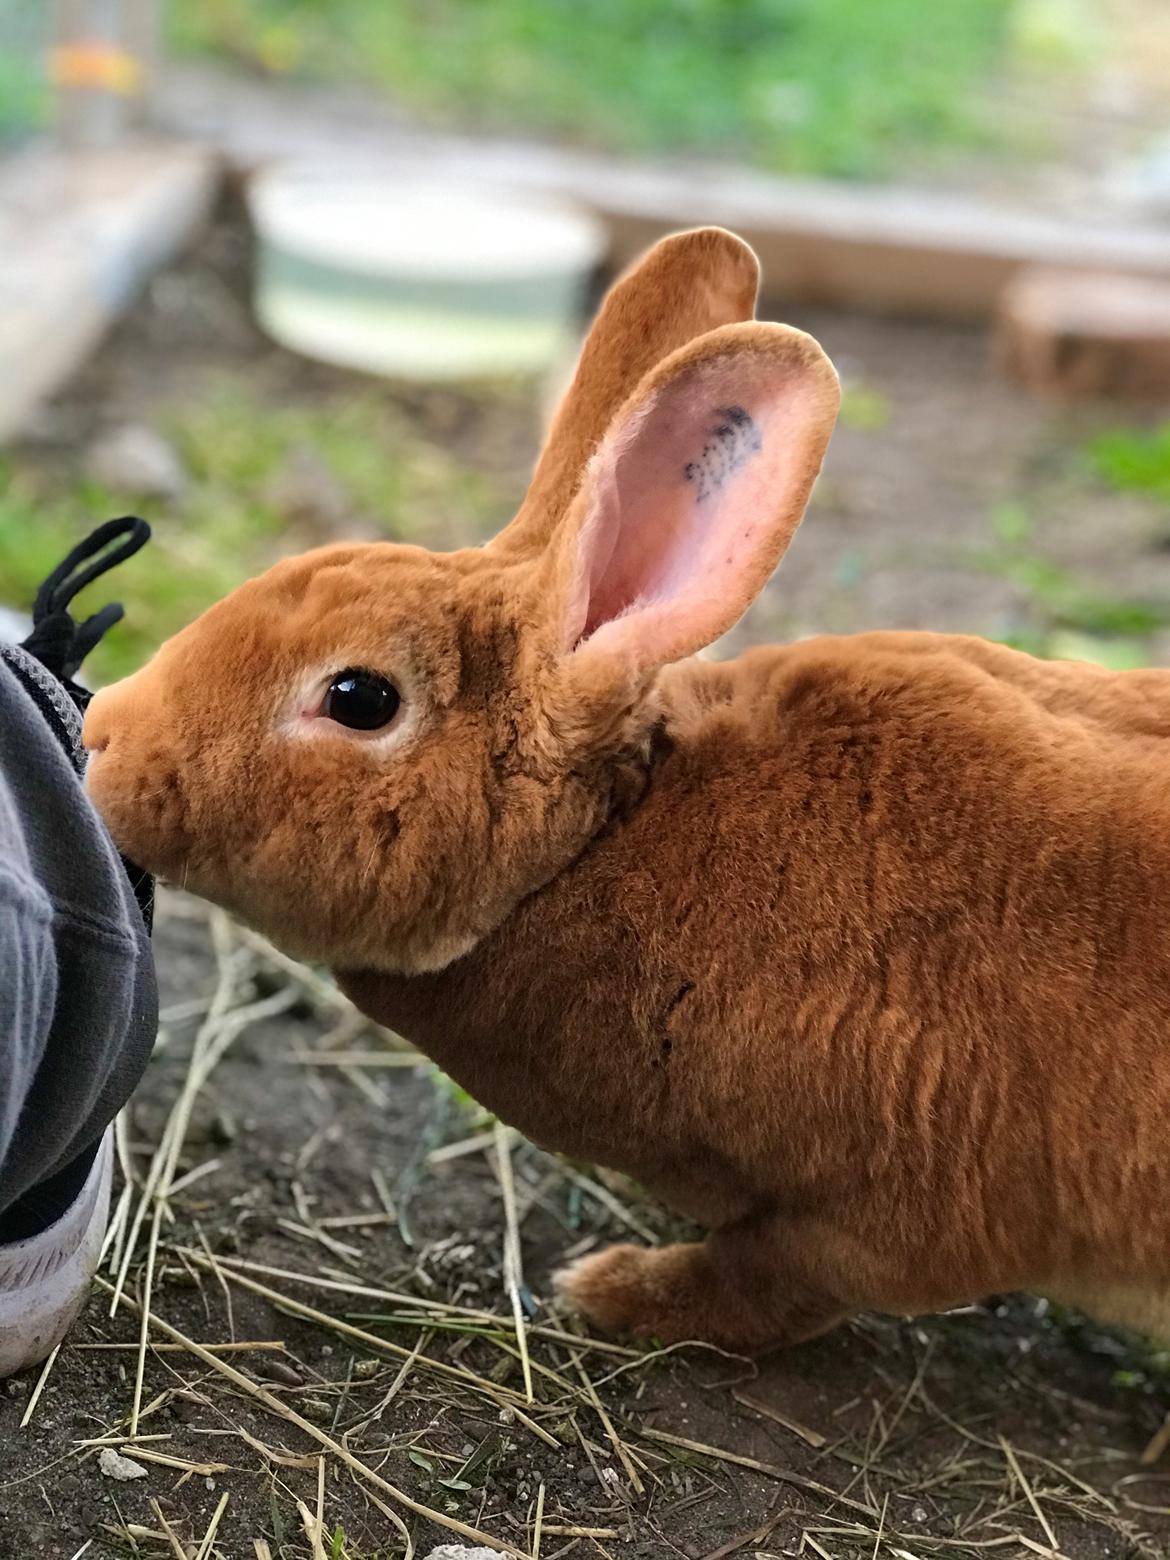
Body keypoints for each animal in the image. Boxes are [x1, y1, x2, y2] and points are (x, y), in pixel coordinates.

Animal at [82, 226, 1170, 1360]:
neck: (597, 843)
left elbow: (774, 1283)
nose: (104, 734)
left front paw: (613, 1290)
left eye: (359, 698)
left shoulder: (883, 1221)